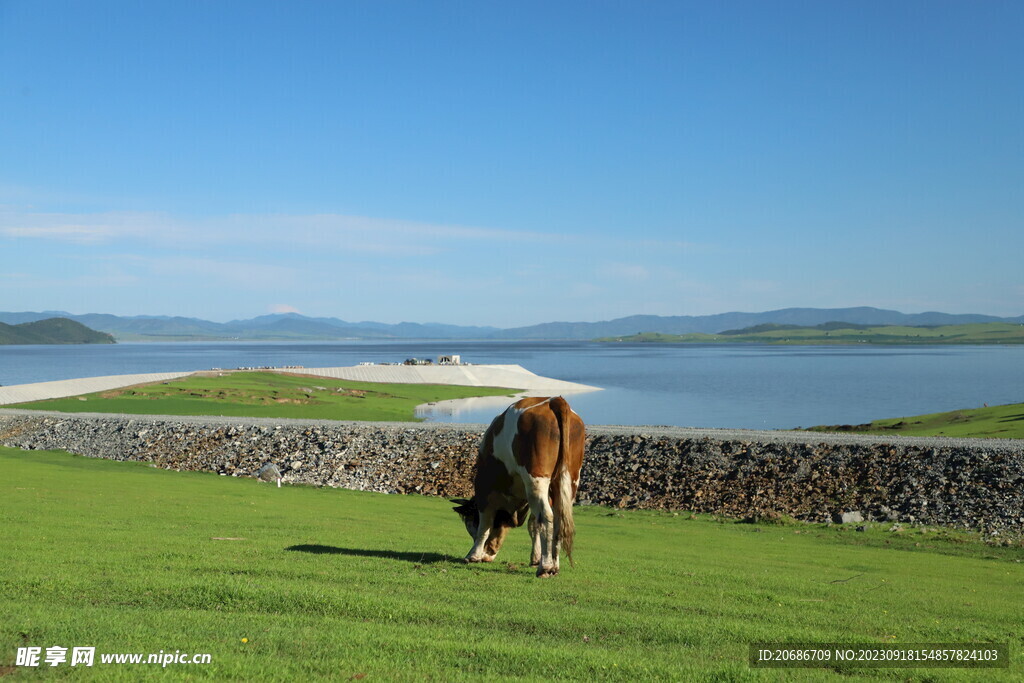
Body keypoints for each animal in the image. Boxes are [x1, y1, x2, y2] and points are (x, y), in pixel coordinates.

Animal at [450, 395, 585, 577]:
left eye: (471, 524)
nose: (488, 554)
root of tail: (554, 400)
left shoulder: (484, 487)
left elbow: (485, 524)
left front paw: (473, 555)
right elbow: (533, 525)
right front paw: (535, 558)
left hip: (536, 479)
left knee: (547, 516)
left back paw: (545, 567)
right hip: (569, 480)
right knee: (559, 519)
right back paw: (554, 566)